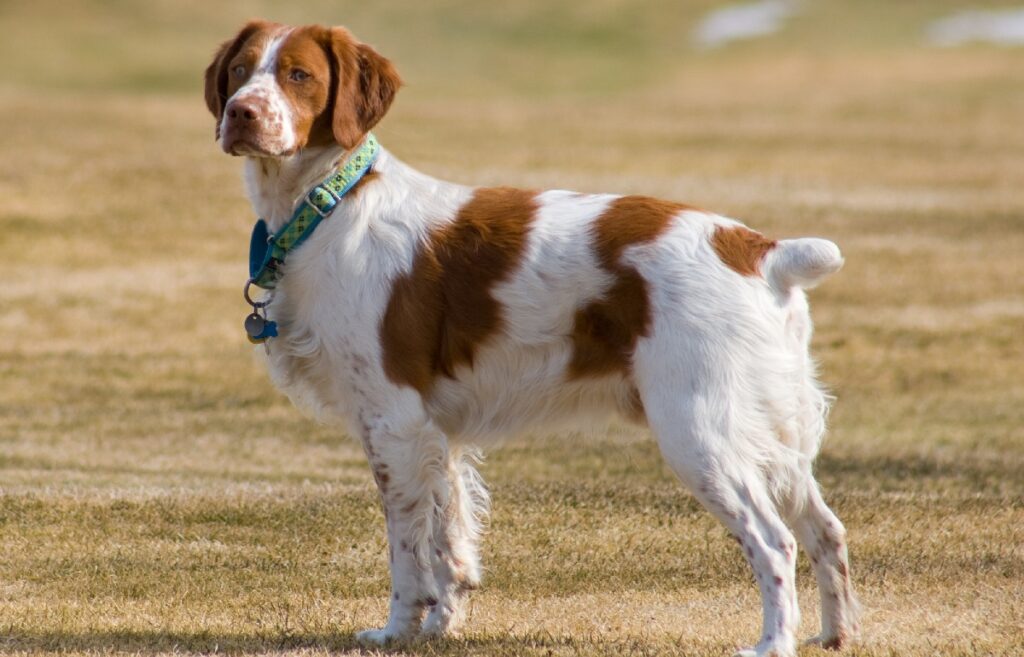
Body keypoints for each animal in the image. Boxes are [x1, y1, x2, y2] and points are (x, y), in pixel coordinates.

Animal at [203, 20, 860, 654]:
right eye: (240, 70)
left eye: (298, 75)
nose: (241, 113)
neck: (329, 207)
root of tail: (760, 250)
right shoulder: (437, 434)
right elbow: (449, 541)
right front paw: (440, 627)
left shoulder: (393, 422)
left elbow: (408, 550)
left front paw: (396, 631)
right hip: (771, 432)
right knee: (826, 529)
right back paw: (834, 635)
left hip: (699, 431)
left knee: (775, 542)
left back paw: (773, 643)